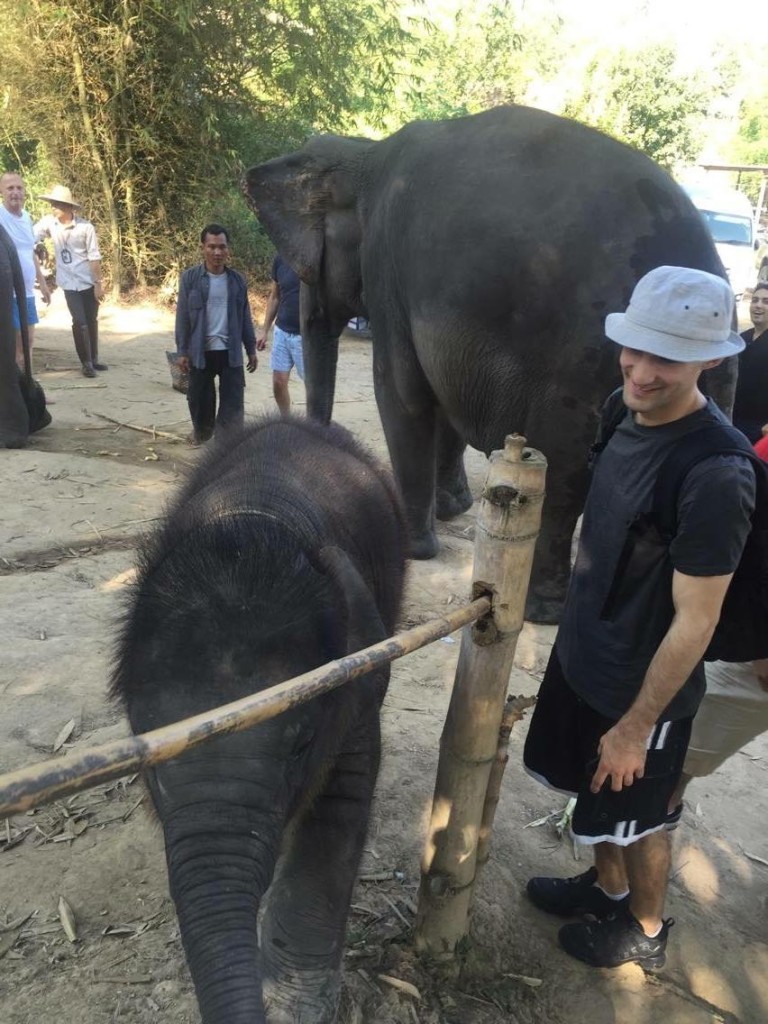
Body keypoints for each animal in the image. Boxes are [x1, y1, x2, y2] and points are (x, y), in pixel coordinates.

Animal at [111, 417, 409, 1024]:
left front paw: (293, 1004)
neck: (252, 519)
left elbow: (341, 800)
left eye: (301, 747)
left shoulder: (354, 675)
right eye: (145, 749)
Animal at [244, 103, 733, 618]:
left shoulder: (388, 268)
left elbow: (401, 390)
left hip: (584, 360)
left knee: (562, 474)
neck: (364, 154)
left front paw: (415, 548)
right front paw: (453, 508)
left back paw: (540, 612)